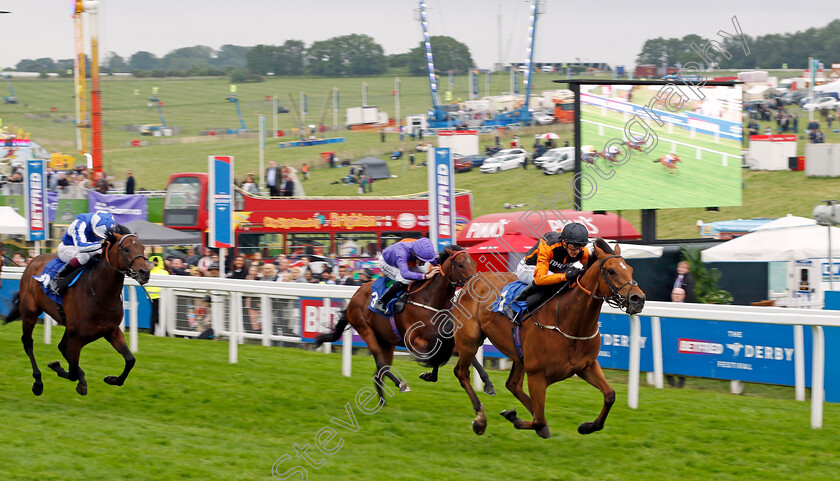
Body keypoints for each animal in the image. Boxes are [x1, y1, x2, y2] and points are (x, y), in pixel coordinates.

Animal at [4, 227, 151, 396]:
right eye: (126, 249)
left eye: (142, 248)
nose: (145, 272)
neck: (99, 293)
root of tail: (33, 261)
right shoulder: (77, 337)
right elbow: (73, 371)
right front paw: (65, 372)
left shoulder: (111, 331)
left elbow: (130, 360)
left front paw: (112, 379)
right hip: (30, 312)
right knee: (28, 342)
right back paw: (38, 382)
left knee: (61, 347)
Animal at [314, 246, 492, 404]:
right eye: (461, 264)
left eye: (474, 263)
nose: (477, 285)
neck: (431, 299)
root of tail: (355, 296)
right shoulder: (415, 341)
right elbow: (435, 356)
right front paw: (429, 375)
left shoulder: (445, 338)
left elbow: (461, 354)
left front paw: (488, 384)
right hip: (365, 329)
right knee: (381, 364)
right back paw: (400, 384)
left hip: (386, 341)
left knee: (379, 373)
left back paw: (383, 404)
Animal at [452, 238, 644, 436]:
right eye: (611, 271)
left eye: (630, 269)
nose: (638, 299)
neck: (570, 322)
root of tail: (471, 281)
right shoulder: (537, 375)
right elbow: (538, 420)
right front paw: (514, 418)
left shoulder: (587, 366)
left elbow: (610, 395)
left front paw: (587, 426)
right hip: (469, 341)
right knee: (461, 372)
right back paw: (480, 419)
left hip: (519, 355)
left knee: (513, 385)